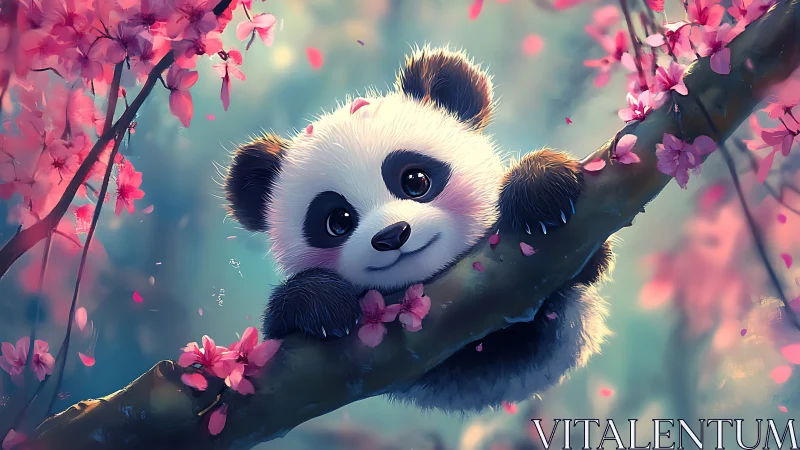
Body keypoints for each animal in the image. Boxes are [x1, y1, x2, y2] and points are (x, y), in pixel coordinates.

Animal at [223, 45, 614, 413]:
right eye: (337, 221)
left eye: (415, 181)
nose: (391, 236)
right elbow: (281, 327)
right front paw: (320, 303)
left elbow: (589, 261)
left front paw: (541, 190)